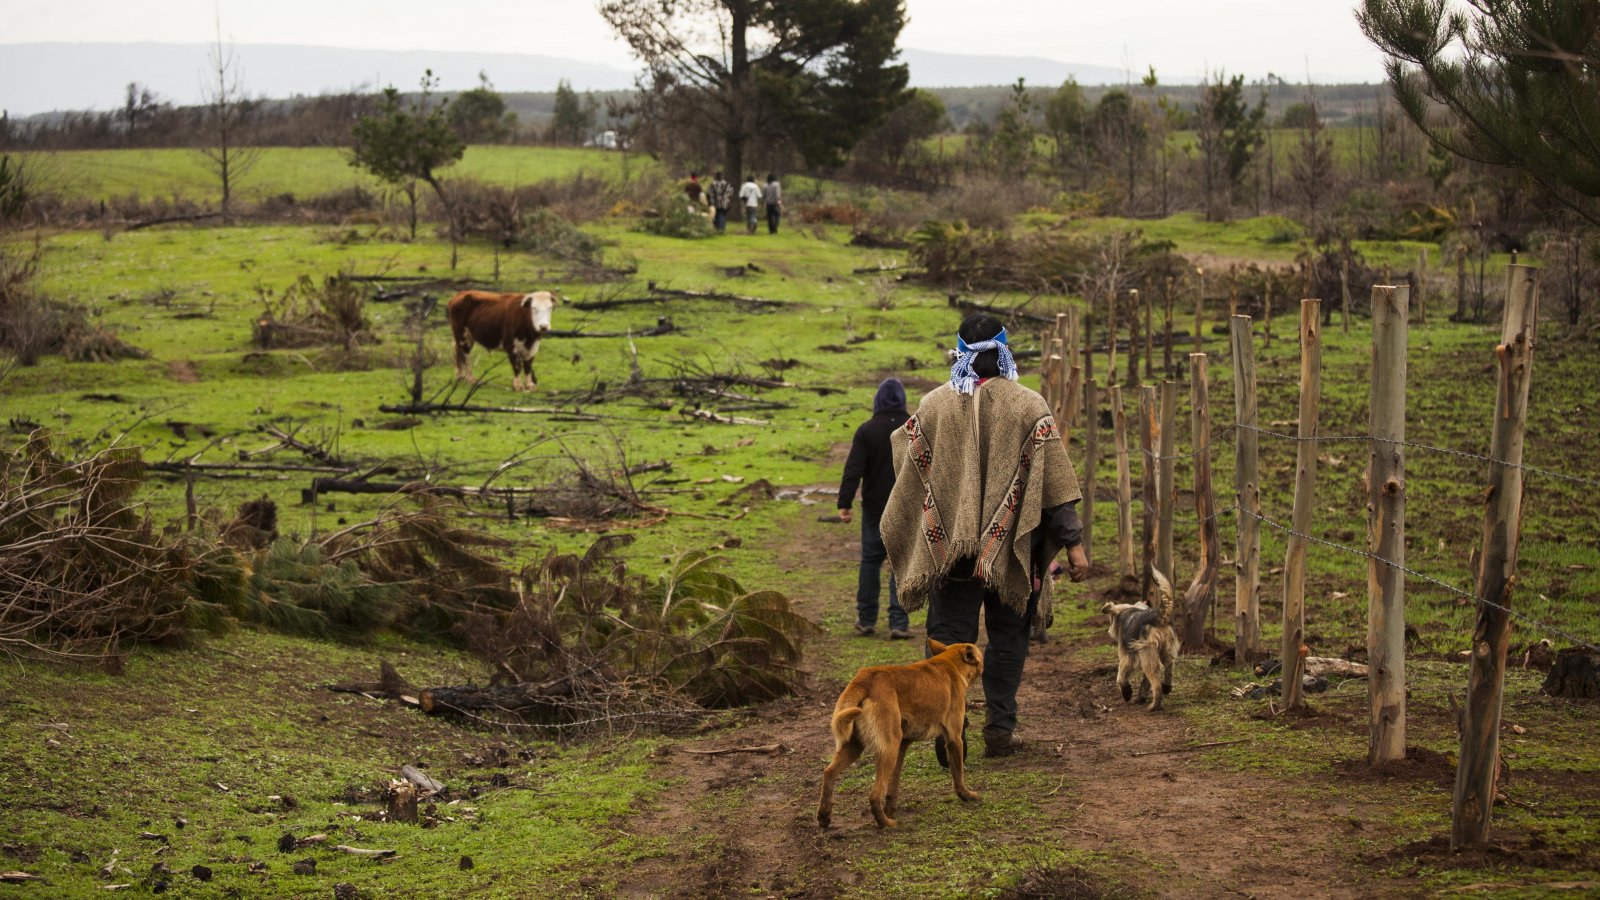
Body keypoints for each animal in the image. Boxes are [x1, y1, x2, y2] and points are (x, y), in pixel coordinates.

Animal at [819, 637, 979, 826]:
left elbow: (893, 784)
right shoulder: (954, 737)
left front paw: (891, 809)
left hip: (857, 747)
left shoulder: (903, 745)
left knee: (829, 773)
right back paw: (886, 823)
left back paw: (824, 816)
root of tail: (865, 678)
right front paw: (966, 795)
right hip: (889, 749)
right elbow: (958, 772)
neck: (949, 663)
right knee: (874, 795)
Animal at [1094, 566, 1184, 707]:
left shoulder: (1126, 656)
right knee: (1169, 667)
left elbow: (1121, 676)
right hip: (1167, 650)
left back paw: (1155, 704)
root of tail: (1159, 616)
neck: (1128, 611)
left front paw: (1126, 692)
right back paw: (1167, 688)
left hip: (1148, 653)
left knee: (1155, 681)